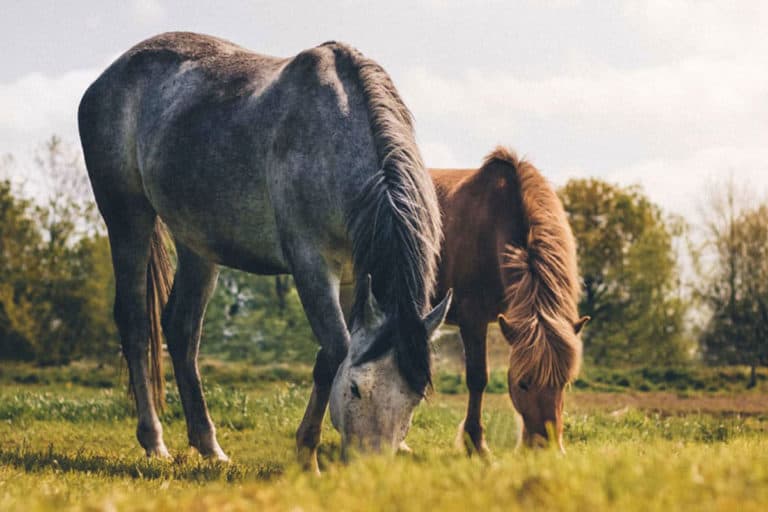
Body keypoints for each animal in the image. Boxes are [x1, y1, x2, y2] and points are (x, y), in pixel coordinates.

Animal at [79, 33, 452, 472]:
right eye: (356, 389)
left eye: (414, 398)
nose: (370, 469)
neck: (336, 136)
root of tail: (107, 78)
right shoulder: (311, 265)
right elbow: (335, 352)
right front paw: (306, 455)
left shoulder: (352, 275)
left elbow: (331, 353)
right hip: (127, 218)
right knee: (137, 324)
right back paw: (154, 440)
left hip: (197, 243)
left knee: (181, 329)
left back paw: (209, 445)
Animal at [432, 146, 588, 454]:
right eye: (523, 383)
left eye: (563, 383)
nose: (546, 448)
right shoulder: (472, 318)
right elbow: (477, 378)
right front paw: (476, 444)